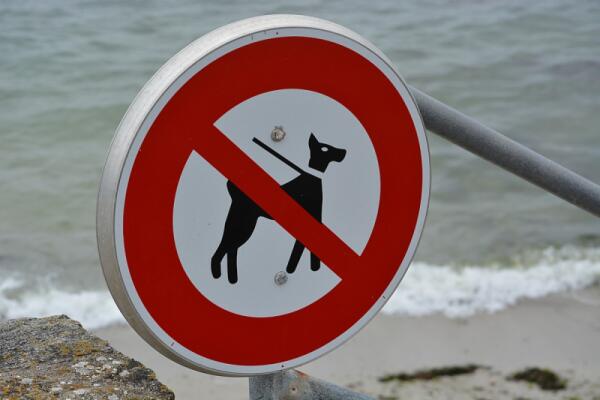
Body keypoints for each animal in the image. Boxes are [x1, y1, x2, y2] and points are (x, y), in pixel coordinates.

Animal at [211, 133, 346, 284]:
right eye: (325, 148)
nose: (344, 151)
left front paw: (296, 269)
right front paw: (307, 268)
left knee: (231, 250)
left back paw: (232, 278)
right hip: (242, 226)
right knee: (223, 250)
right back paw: (218, 275)